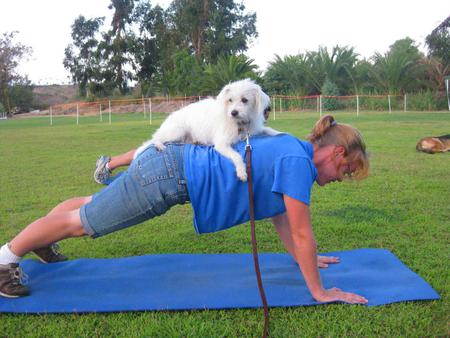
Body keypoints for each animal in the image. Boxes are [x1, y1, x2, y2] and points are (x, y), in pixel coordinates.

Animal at [134, 78, 282, 181]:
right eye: (230, 100)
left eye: (244, 100)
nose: (233, 112)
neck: (239, 123)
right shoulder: (221, 144)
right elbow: (237, 155)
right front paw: (242, 172)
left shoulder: (253, 130)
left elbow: (267, 129)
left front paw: (279, 132)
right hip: (176, 131)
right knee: (155, 138)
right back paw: (159, 145)